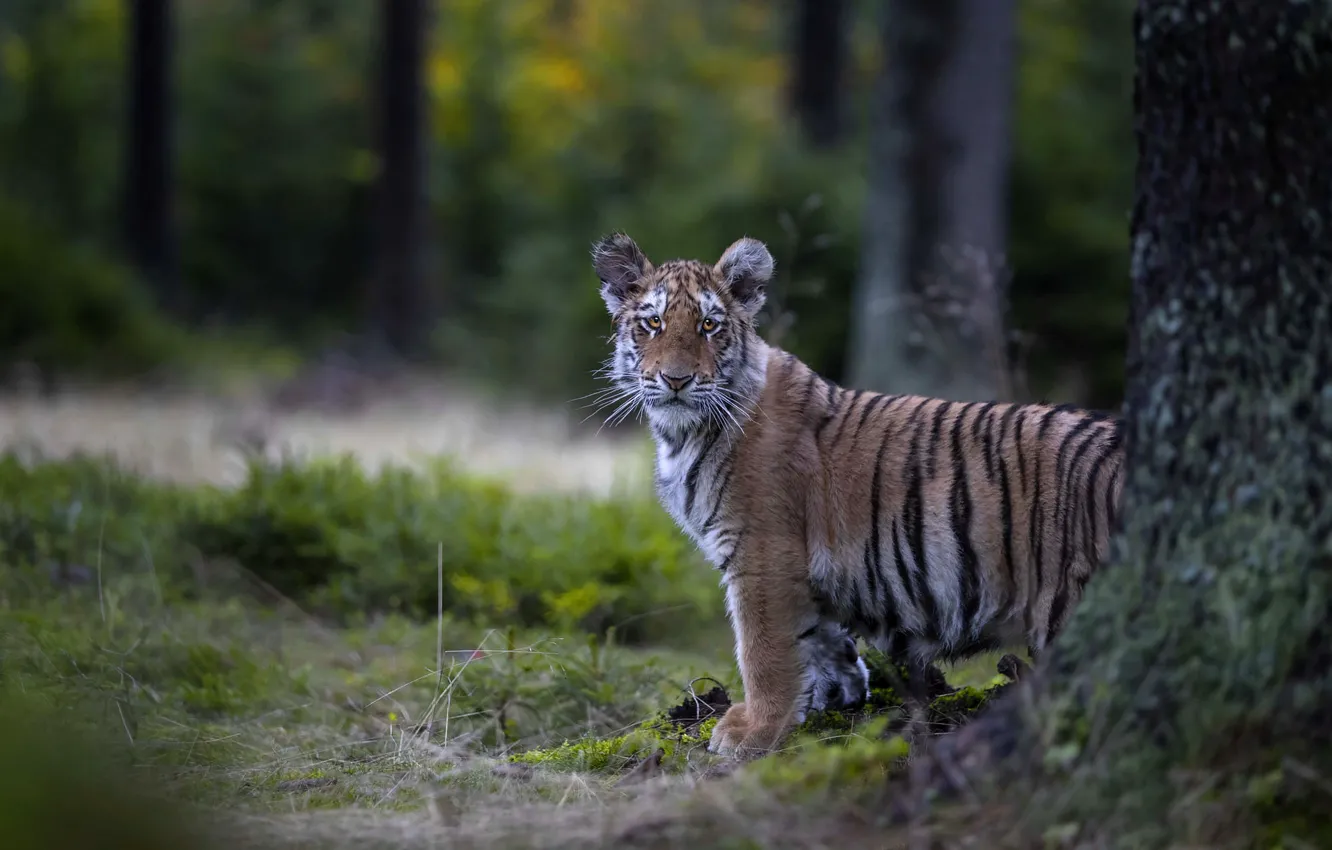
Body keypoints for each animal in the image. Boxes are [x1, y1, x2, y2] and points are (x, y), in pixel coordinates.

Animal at [590, 232, 1126, 759]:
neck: (681, 435)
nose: (676, 380)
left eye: (708, 325)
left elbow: (762, 648)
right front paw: (837, 696)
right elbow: (820, 638)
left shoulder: (762, 554)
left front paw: (755, 730)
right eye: (654, 323)